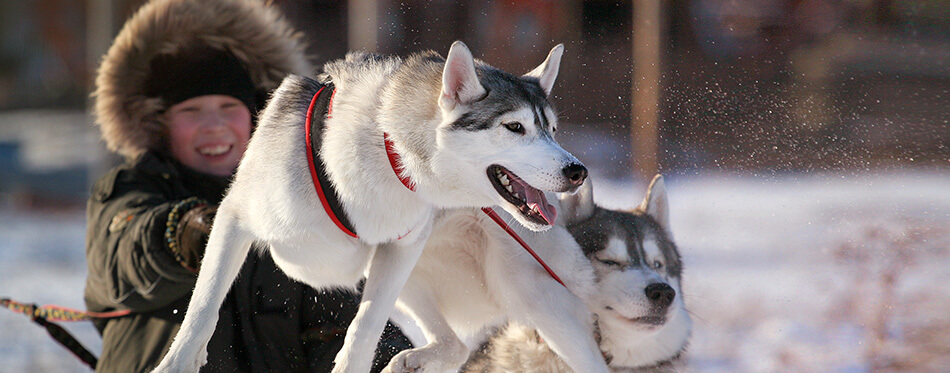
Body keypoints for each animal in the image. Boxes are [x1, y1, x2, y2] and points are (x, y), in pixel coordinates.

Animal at [153, 41, 588, 372]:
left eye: (552, 129)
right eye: (514, 127)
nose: (578, 171)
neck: (388, 152)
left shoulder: (399, 251)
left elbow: (364, 328)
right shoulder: (235, 218)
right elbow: (203, 308)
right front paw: (179, 362)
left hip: (536, 299)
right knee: (456, 345)